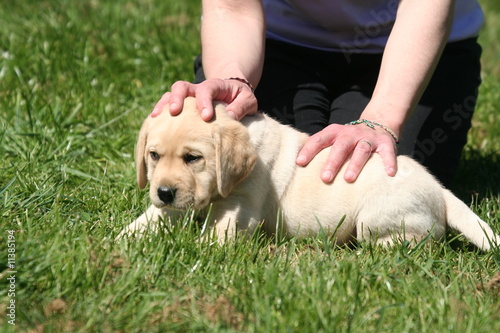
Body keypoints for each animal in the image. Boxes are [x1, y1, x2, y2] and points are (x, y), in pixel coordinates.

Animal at [120, 96, 496, 249]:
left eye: (193, 158)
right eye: (153, 156)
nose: (164, 192)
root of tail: (441, 191)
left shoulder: (241, 201)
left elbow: (220, 231)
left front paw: (202, 252)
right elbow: (153, 217)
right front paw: (125, 238)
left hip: (377, 217)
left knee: (420, 241)